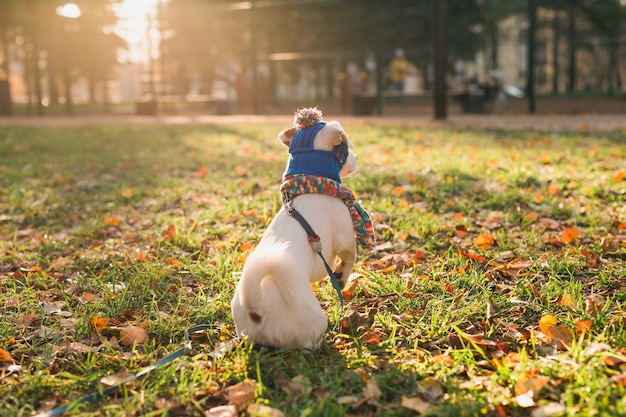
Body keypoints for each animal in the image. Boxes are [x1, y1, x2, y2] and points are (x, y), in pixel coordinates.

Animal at [232, 107, 372, 348]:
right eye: (345, 149)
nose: (357, 159)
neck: (312, 184)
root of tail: (257, 308)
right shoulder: (345, 238)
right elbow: (350, 258)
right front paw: (341, 277)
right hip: (312, 321)